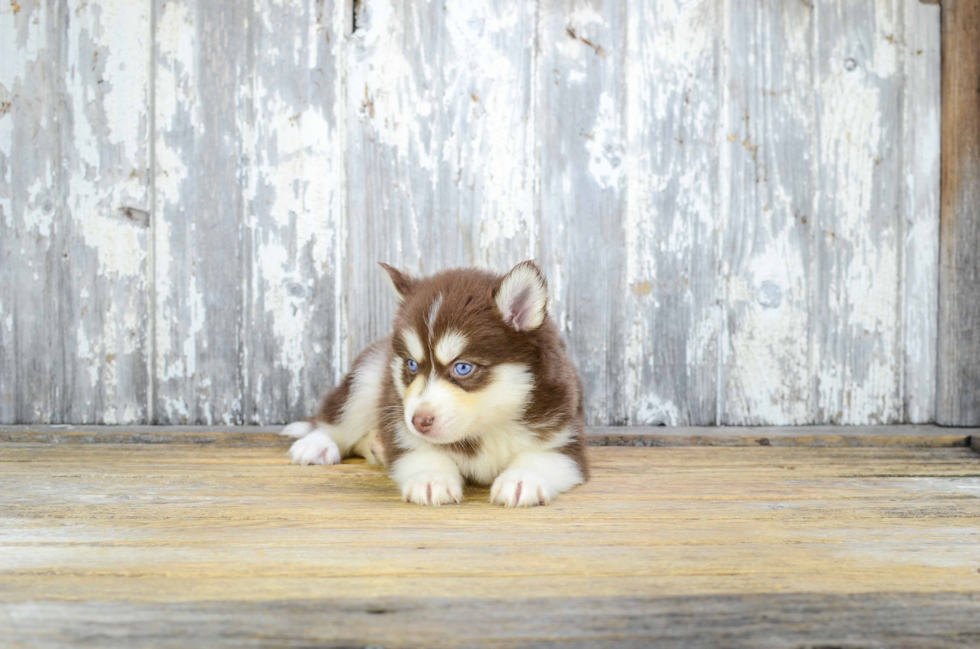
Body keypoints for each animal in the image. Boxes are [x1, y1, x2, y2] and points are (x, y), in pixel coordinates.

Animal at [284, 260, 588, 506]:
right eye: (411, 364)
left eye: (462, 367)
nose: (419, 421)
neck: (487, 427)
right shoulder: (400, 426)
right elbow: (422, 451)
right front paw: (431, 478)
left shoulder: (565, 438)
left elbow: (542, 458)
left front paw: (522, 480)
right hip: (368, 376)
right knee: (335, 419)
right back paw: (317, 444)